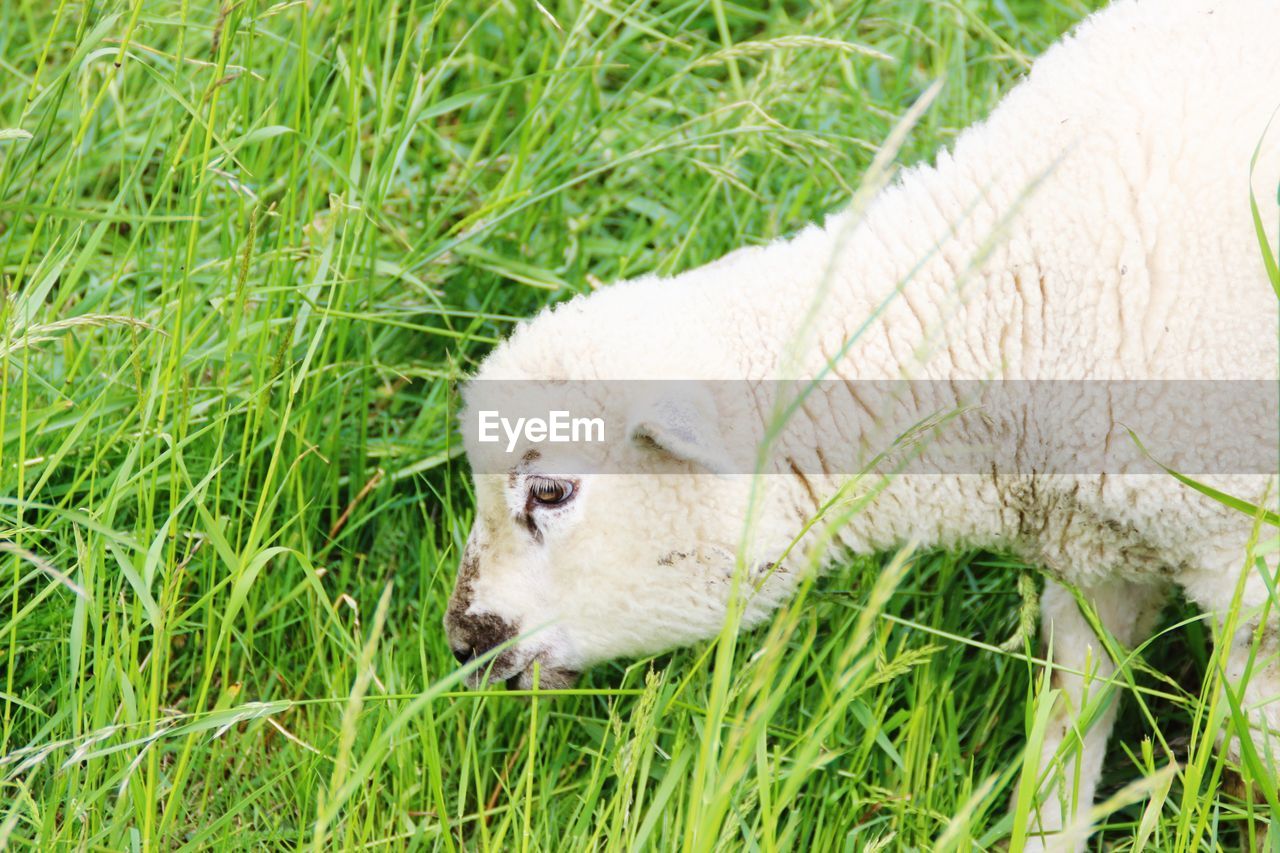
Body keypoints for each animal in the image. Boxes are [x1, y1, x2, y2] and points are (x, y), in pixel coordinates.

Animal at [442, 0, 1280, 845]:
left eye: (550, 492)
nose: (462, 642)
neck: (1014, 299)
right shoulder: (1097, 558)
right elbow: (1064, 745)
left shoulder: (1249, 569)